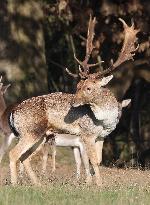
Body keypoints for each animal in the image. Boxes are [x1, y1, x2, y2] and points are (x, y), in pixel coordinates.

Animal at [8, 16, 139, 185]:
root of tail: (13, 113)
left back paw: (39, 185)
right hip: (30, 131)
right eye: (77, 86)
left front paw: (95, 184)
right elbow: (92, 161)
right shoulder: (86, 134)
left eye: (88, 88)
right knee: (13, 153)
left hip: (41, 136)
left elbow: (99, 160)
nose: (73, 103)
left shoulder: (101, 137)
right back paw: (15, 184)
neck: (105, 120)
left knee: (25, 157)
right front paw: (98, 185)